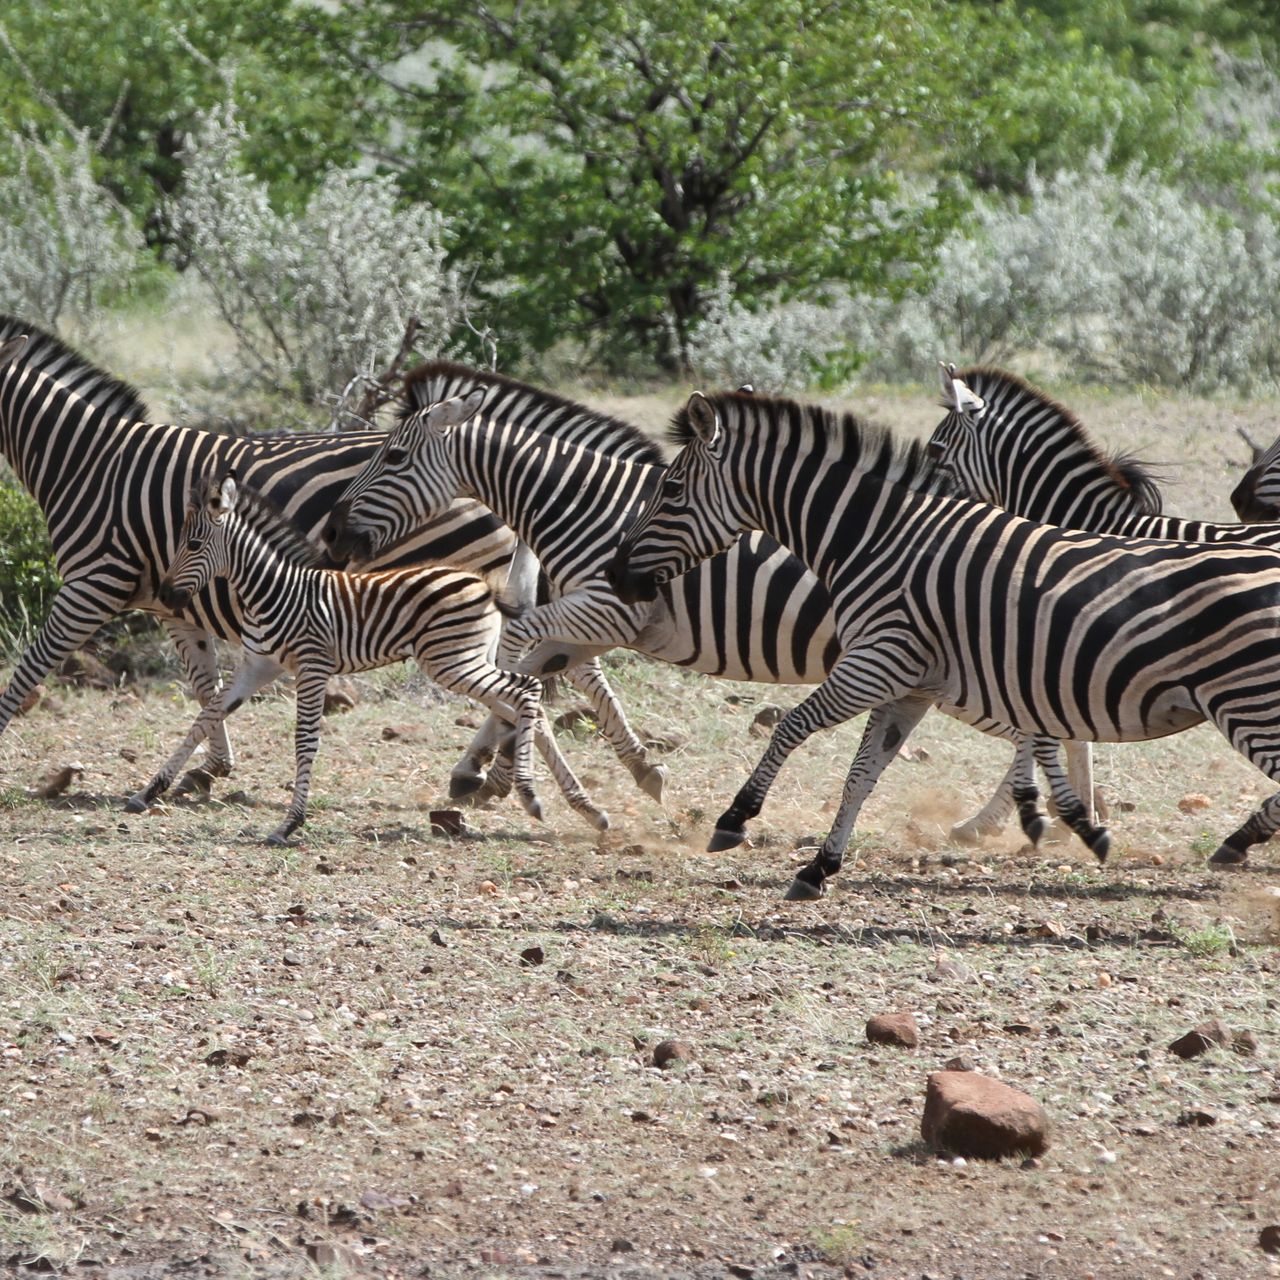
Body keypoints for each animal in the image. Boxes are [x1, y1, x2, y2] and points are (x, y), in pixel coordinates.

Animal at [0, 320, 658, 803]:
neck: (86, 461)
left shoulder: (94, 582)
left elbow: (29, 670)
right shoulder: (171, 600)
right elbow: (206, 685)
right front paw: (208, 768)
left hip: (470, 581)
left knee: (544, 668)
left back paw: (505, 773)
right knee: (561, 664)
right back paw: (606, 770)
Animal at [127, 455, 608, 844]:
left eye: (192, 545)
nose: (165, 595)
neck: (273, 591)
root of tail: (484, 584)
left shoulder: (312, 665)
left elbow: (304, 741)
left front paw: (290, 824)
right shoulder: (259, 666)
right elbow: (205, 718)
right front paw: (148, 791)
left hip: (451, 660)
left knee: (526, 691)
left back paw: (534, 795)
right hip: (466, 658)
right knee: (527, 704)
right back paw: (579, 807)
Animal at [322, 375, 1101, 856]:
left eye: (393, 456)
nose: (332, 535)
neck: (578, 505)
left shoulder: (605, 610)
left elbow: (529, 661)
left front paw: (506, 777)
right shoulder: (596, 620)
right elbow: (554, 680)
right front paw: (611, 776)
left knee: (1038, 729)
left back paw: (1024, 819)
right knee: (1062, 723)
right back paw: (1070, 820)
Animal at [611, 389, 1280, 898]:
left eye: (671, 490)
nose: (619, 577)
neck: (875, 538)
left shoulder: (877, 660)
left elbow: (792, 728)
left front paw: (734, 820)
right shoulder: (911, 681)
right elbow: (862, 773)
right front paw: (820, 867)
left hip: (1251, 706)